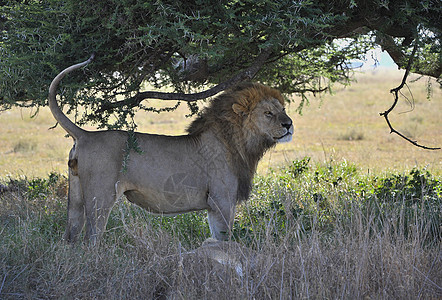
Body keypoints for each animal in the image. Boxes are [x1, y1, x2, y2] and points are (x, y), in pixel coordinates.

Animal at [49, 56, 294, 244]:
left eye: (283, 109)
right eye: (268, 113)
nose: (289, 124)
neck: (239, 142)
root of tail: (85, 134)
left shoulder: (214, 206)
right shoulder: (222, 200)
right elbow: (225, 240)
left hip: (76, 195)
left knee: (70, 236)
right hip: (100, 197)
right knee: (92, 238)